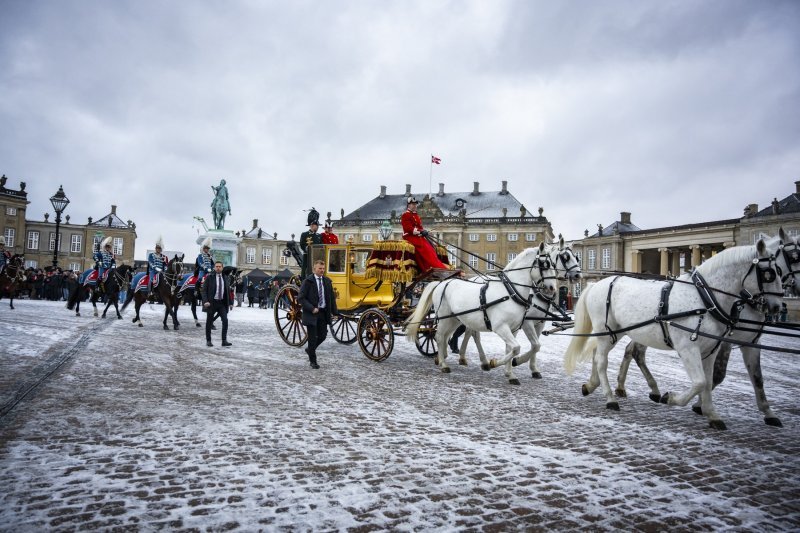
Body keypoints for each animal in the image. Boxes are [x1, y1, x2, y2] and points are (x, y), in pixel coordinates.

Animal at [406, 245, 556, 382]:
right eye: (545, 264)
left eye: (554, 264)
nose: (552, 288)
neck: (510, 292)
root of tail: (441, 283)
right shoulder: (501, 327)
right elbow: (517, 348)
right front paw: (495, 363)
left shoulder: (514, 329)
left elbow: (513, 349)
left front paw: (510, 374)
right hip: (444, 317)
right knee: (439, 336)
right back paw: (444, 364)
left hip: (454, 319)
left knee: (447, 336)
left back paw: (443, 358)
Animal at [450, 239, 580, 380]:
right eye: (566, 257)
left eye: (576, 257)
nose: (578, 275)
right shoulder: (527, 322)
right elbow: (534, 345)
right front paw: (515, 362)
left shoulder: (538, 323)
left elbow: (535, 346)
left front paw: (531, 369)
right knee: (472, 333)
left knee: (470, 332)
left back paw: (466, 357)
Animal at [564, 239, 784, 430]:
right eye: (769, 274)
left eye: (779, 271)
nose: (777, 307)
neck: (704, 298)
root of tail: (597, 283)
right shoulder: (688, 348)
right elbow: (700, 382)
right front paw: (670, 398)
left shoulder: (711, 349)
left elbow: (708, 381)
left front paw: (711, 414)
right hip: (606, 332)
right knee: (602, 361)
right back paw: (610, 398)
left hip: (614, 333)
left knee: (597, 356)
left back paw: (592, 385)